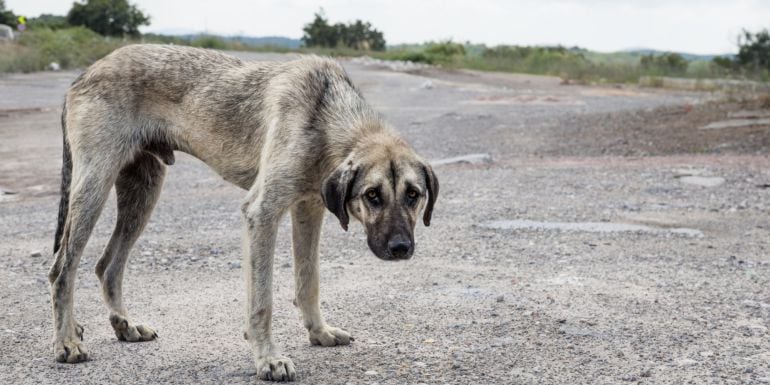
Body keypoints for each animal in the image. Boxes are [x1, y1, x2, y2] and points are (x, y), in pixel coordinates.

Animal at [48, 43, 438, 380]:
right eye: (372, 195)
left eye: (413, 195)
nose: (401, 249)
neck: (326, 115)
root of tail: (85, 73)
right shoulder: (261, 214)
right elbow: (262, 301)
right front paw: (268, 359)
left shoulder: (308, 209)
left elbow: (308, 281)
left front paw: (319, 332)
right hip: (94, 187)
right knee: (62, 269)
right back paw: (67, 342)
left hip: (142, 193)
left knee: (107, 265)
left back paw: (124, 325)